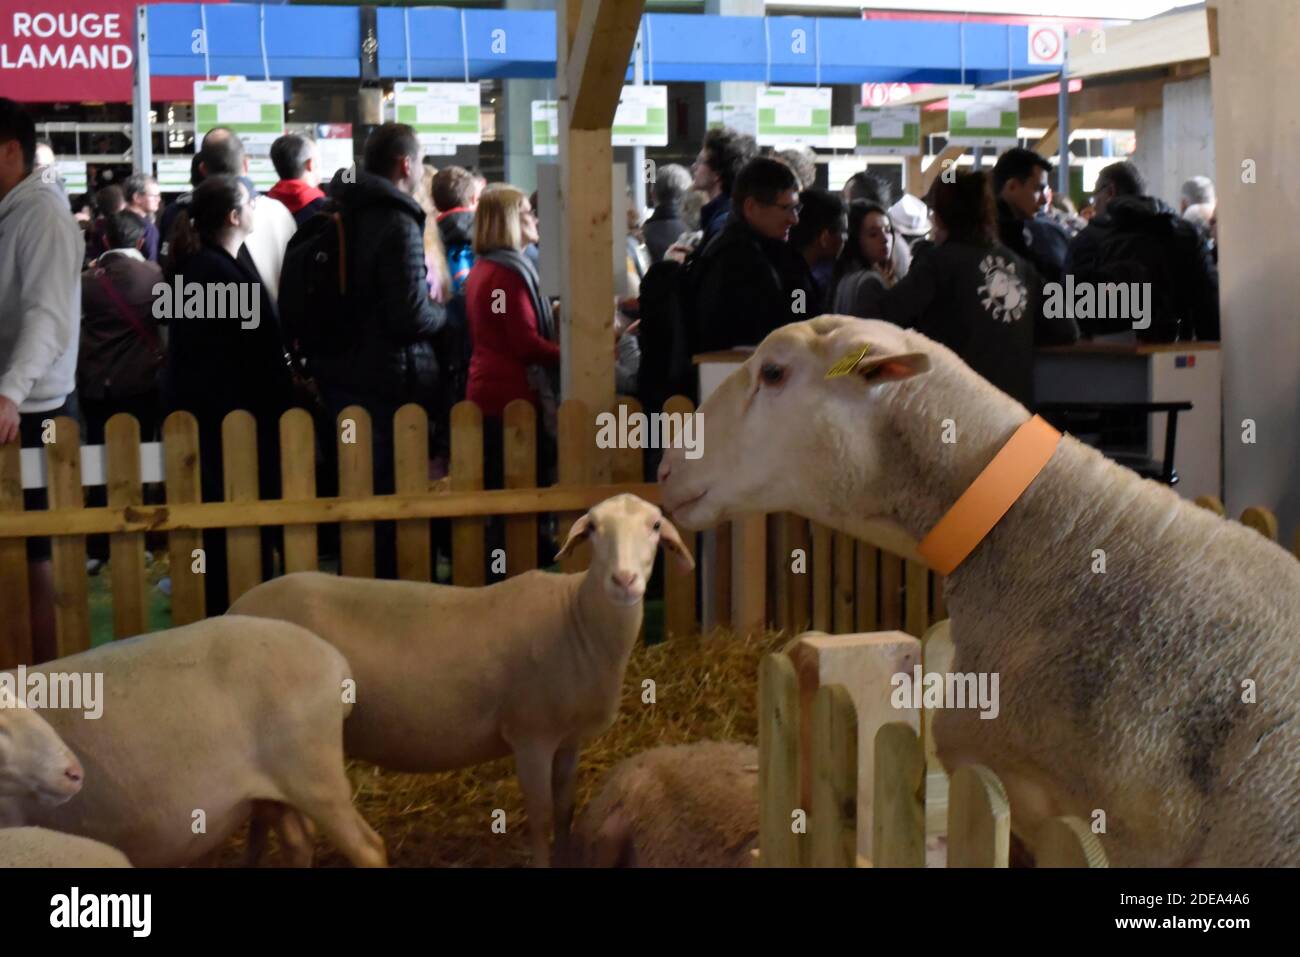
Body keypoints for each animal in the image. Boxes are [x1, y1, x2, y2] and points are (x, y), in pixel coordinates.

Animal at [0, 616, 384, 868]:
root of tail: (334, 659)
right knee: (298, 841)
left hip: (315, 777)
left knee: (369, 848)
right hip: (279, 789)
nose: (74, 772)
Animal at [233, 494, 702, 868]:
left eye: (655, 526)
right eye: (594, 529)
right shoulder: (531, 735)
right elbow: (541, 818)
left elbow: (565, 810)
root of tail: (237, 605)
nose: (624, 581)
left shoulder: (570, 740)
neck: (576, 619)